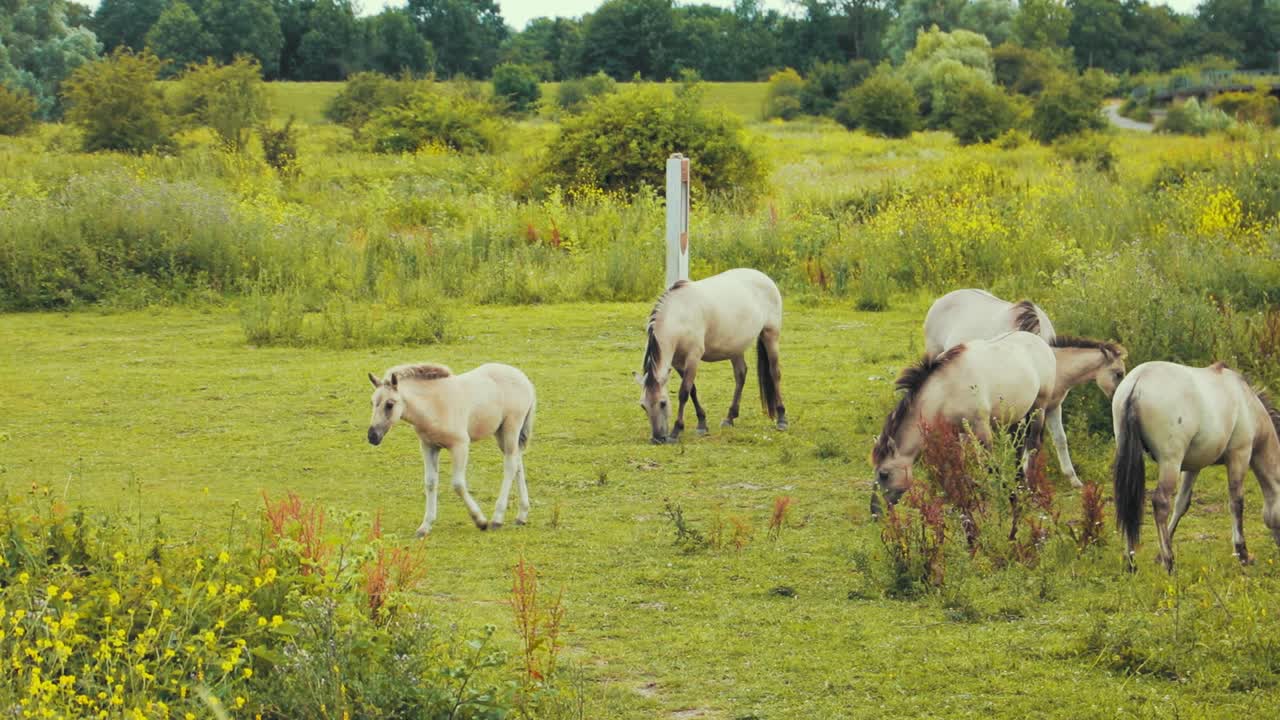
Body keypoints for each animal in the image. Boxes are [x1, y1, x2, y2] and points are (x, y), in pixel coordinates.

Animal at [367, 362, 536, 537]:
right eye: (372, 403)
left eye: (389, 404)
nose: (372, 436)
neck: (433, 405)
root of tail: (523, 377)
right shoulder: (429, 446)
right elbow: (430, 482)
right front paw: (425, 526)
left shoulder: (460, 445)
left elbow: (458, 484)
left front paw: (480, 521)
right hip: (500, 433)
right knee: (517, 462)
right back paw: (521, 515)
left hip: (511, 428)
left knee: (510, 466)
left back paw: (497, 519)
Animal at [635, 268, 786, 444]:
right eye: (643, 405)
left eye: (663, 403)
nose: (657, 439)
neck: (680, 314)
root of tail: (764, 277)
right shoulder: (678, 362)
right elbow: (692, 390)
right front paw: (702, 423)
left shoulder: (693, 357)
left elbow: (684, 392)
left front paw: (676, 430)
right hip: (735, 347)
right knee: (741, 375)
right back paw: (729, 418)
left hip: (771, 335)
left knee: (774, 373)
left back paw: (782, 418)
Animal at [871, 331, 1057, 509]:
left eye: (883, 474)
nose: (875, 511)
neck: (946, 389)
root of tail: (1040, 341)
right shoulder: (954, 433)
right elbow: (956, 467)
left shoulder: (980, 428)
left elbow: (990, 466)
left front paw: (1010, 499)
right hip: (1015, 416)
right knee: (1018, 447)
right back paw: (1020, 483)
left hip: (1039, 407)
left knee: (1033, 446)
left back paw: (1031, 489)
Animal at [923, 288, 1127, 487]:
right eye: (1119, 373)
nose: (1119, 402)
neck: (1048, 362)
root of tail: (940, 300)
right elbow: (1024, 443)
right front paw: (1025, 480)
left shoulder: (1052, 407)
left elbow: (1058, 440)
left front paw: (1073, 480)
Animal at [1112, 361, 1280, 573]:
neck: (1249, 406)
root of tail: (1137, 382)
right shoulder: (1239, 455)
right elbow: (1236, 502)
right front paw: (1243, 554)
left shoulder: (1193, 467)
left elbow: (1181, 504)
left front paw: (1159, 555)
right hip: (1170, 462)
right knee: (1160, 503)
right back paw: (1170, 564)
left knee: (1128, 503)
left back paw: (1131, 563)